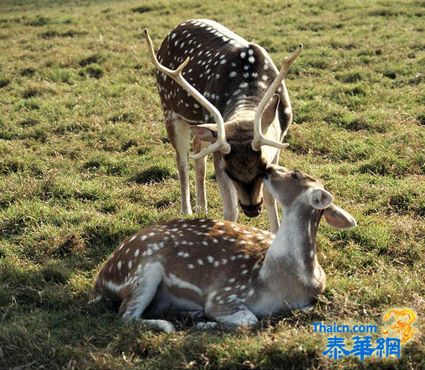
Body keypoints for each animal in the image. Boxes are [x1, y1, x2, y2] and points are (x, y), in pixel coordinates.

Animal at [92, 165, 354, 332]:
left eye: (296, 174)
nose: (267, 167)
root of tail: (100, 281)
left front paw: (203, 321)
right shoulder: (223, 293)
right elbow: (250, 319)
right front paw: (206, 323)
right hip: (143, 270)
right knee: (125, 315)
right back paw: (169, 325)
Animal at [146, 19, 302, 231]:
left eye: (262, 168)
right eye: (229, 172)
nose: (251, 209)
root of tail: (176, 28)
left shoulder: (277, 145)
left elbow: (271, 198)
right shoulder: (219, 154)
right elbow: (230, 209)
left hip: (201, 124)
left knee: (198, 153)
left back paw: (202, 208)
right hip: (169, 110)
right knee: (182, 160)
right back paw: (187, 211)